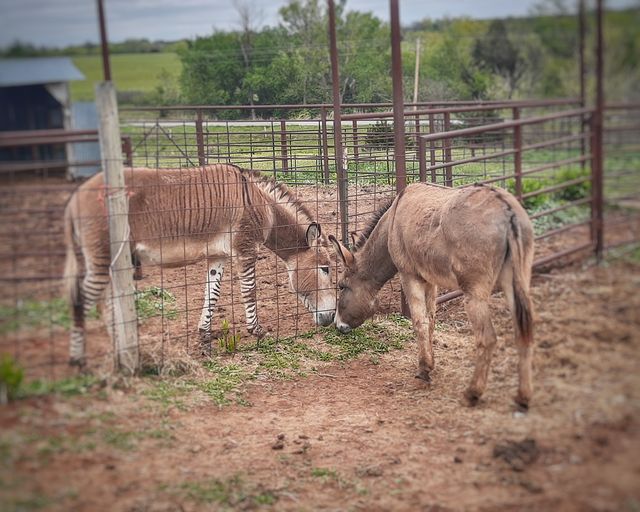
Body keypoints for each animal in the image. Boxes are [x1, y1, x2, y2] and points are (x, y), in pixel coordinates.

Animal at [63, 163, 336, 367]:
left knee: (105, 302)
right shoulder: (246, 249)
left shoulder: (218, 256)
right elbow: (249, 290)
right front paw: (257, 331)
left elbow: (211, 294)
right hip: (102, 256)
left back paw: (117, 351)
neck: (262, 205)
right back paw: (79, 361)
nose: (332, 318)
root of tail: (75, 197)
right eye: (325, 268)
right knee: (81, 300)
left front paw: (205, 341)